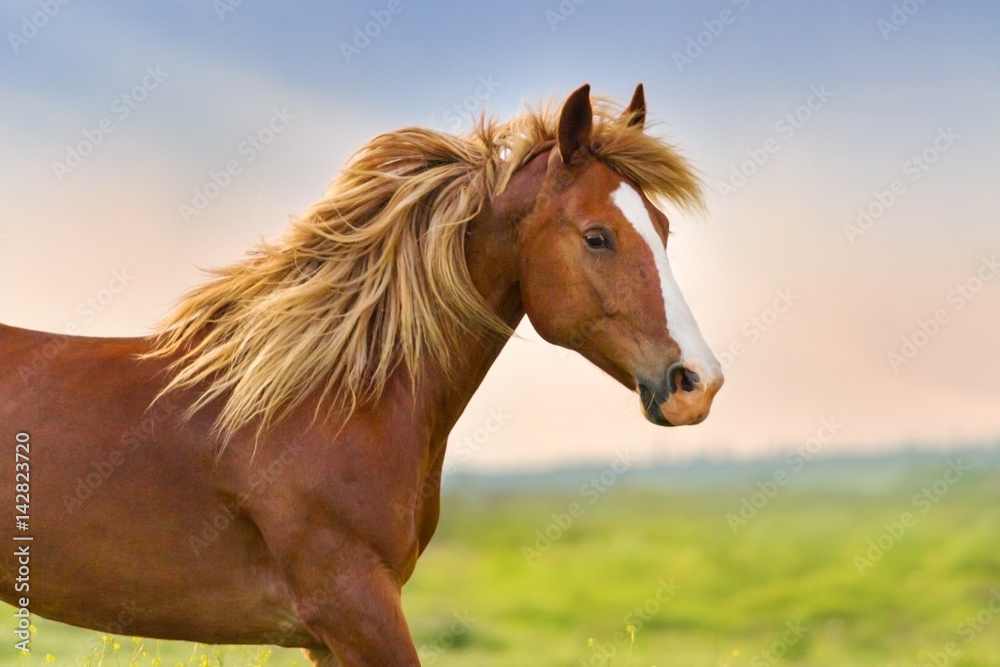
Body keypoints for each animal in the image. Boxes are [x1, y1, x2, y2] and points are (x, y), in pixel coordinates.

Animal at [0, 83, 723, 665]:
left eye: (663, 229)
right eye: (597, 235)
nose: (698, 384)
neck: (333, 402)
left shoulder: (331, 631)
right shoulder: (354, 606)